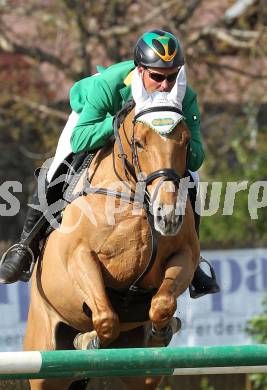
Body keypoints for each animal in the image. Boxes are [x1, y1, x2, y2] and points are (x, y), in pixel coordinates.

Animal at [24, 103, 200, 390]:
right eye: (139, 143)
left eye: (186, 142)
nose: (168, 216)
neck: (135, 197)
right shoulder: (79, 256)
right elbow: (106, 317)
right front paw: (87, 340)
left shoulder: (185, 255)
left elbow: (162, 302)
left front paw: (161, 332)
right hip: (44, 360)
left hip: (141, 376)